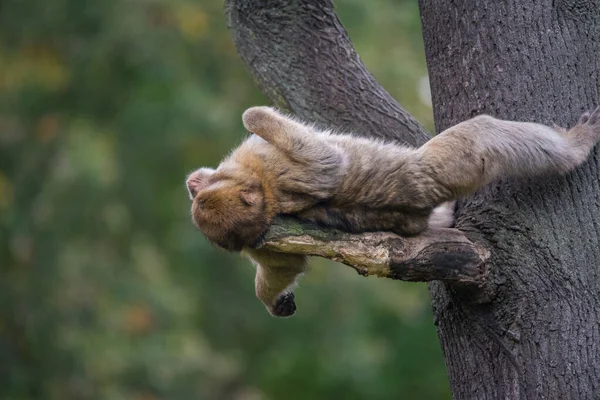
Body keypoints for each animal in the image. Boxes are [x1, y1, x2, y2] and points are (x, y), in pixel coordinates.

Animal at [186, 105, 600, 316]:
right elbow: (326, 166)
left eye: (202, 193)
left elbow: (284, 265)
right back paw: (576, 147)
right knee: (481, 133)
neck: (262, 192)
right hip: (448, 164)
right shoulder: (260, 159)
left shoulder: (262, 233)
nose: (193, 185)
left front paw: (274, 299)